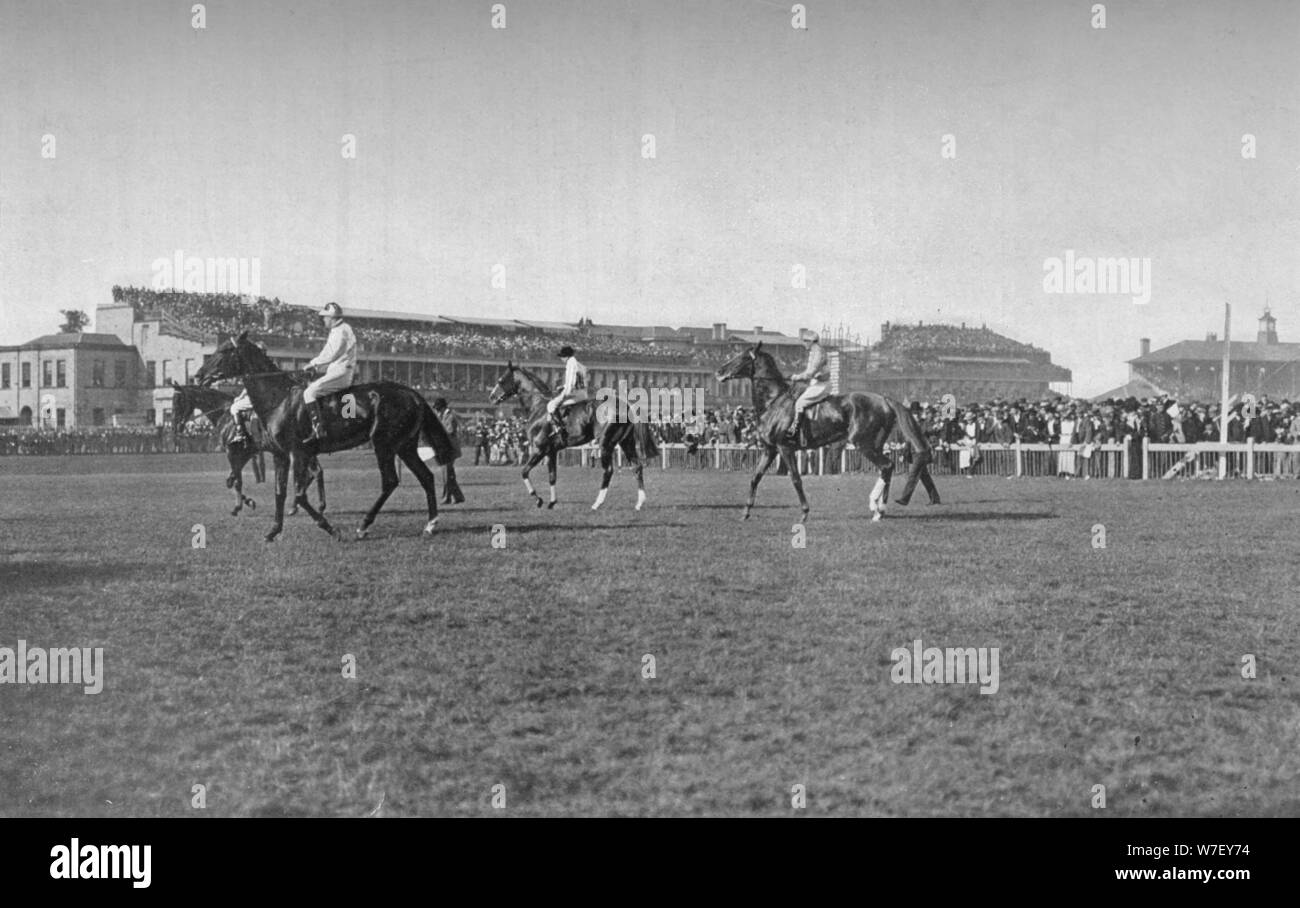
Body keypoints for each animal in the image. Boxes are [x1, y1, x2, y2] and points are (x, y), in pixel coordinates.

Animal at [170, 377, 325, 515]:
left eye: (178, 401)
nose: (175, 427)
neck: (226, 415)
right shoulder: (245, 454)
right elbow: (230, 480)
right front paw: (249, 502)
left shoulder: (233, 452)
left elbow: (236, 480)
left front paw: (238, 507)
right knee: (314, 473)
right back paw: (300, 505)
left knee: (313, 473)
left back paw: (308, 505)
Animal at [189, 333, 457, 541]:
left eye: (224, 351)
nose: (198, 375)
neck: (279, 399)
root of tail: (412, 393)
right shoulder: (280, 455)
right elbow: (279, 492)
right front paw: (273, 531)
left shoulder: (297, 453)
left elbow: (298, 493)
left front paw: (330, 528)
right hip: (405, 446)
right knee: (426, 477)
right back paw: (430, 524)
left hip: (385, 445)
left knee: (390, 481)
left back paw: (364, 525)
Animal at [491, 359, 665, 509]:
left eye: (500, 380)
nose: (491, 396)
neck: (538, 406)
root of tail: (626, 405)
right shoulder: (551, 451)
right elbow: (552, 476)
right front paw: (552, 502)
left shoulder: (539, 449)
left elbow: (524, 472)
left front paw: (538, 499)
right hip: (626, 442)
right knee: (637, 466)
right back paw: (639, 503)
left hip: (605, 444)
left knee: (608, 470)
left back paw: (597, 503)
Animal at [717, 340, 941, 522]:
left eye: (741, 357)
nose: (719, 372)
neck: (775, 401)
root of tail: (884, 399)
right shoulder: (770, 450)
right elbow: (755, 477)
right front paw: (745, 512)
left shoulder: (785, 448)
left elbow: (796, 479)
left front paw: (804, 513)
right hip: (875, 444)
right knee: (887, 468)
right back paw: (878, 509)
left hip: (863, 443)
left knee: (886, 466)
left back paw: (878, 509)